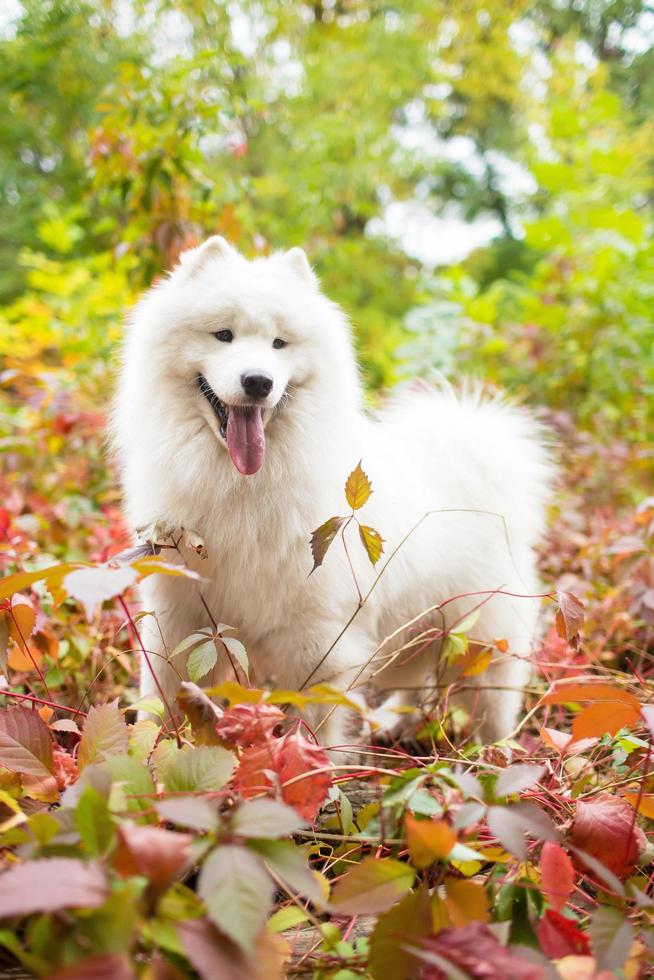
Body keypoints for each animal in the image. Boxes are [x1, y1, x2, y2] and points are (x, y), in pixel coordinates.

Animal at [114, 237, 552, 752]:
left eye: (279, 344)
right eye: (223, 335)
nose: (258, 381)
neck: (241, 484)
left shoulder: (317, 634)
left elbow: (312, 716)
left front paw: (306, 764)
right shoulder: (178, 612)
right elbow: (162, 695)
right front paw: (147, 755)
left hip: (482, 639)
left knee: (492, 705)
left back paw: (498, 756)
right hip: (414, 629)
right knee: (414, 682)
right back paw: (395, 724)